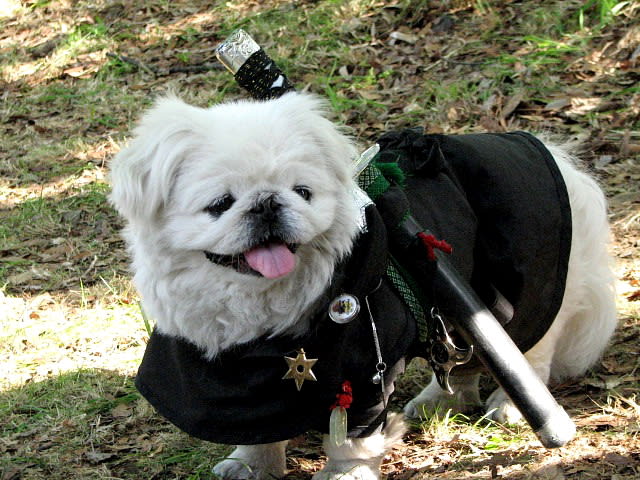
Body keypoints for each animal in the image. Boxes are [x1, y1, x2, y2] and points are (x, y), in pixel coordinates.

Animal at [109, 92, 616, 478]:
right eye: (220, 204)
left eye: (303, 193)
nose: (268, 203)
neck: (260, 314)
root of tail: (559, 162)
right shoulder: (244, 387)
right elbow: (257, 429)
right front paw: (252, 466)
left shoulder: (363, 376)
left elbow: (350, 444)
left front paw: (345, 475)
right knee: (462, 358)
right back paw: (438, 401)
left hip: (521, 292)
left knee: (531, 349)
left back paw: (509, 407)